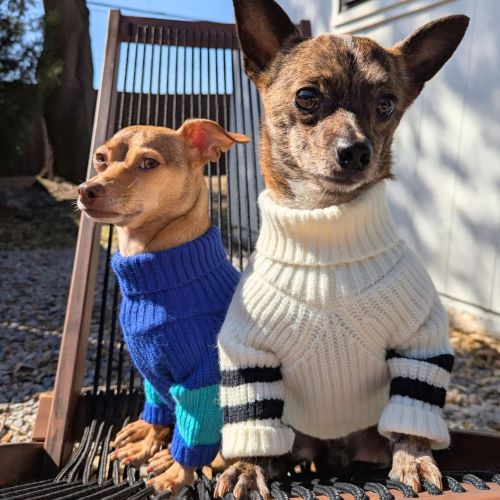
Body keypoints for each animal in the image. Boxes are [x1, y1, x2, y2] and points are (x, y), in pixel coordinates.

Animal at [77, 119, 249, 493]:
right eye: (100, 159)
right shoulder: (150, 372)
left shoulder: (202, 382)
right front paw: (147, 442)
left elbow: (194, 433)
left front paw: (177, 472)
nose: (85, 190)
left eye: (149, 163)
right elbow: (157, 410)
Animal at [214, 1, 469, 497]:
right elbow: (253, 414)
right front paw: (248, 467)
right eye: (307, 97)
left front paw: (415, 459)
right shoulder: (249, 355)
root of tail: (332, 450)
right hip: (293, 432)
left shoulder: (420, 343)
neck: (325, 229)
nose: (356, 151)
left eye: (386, 104)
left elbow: (414, 410)